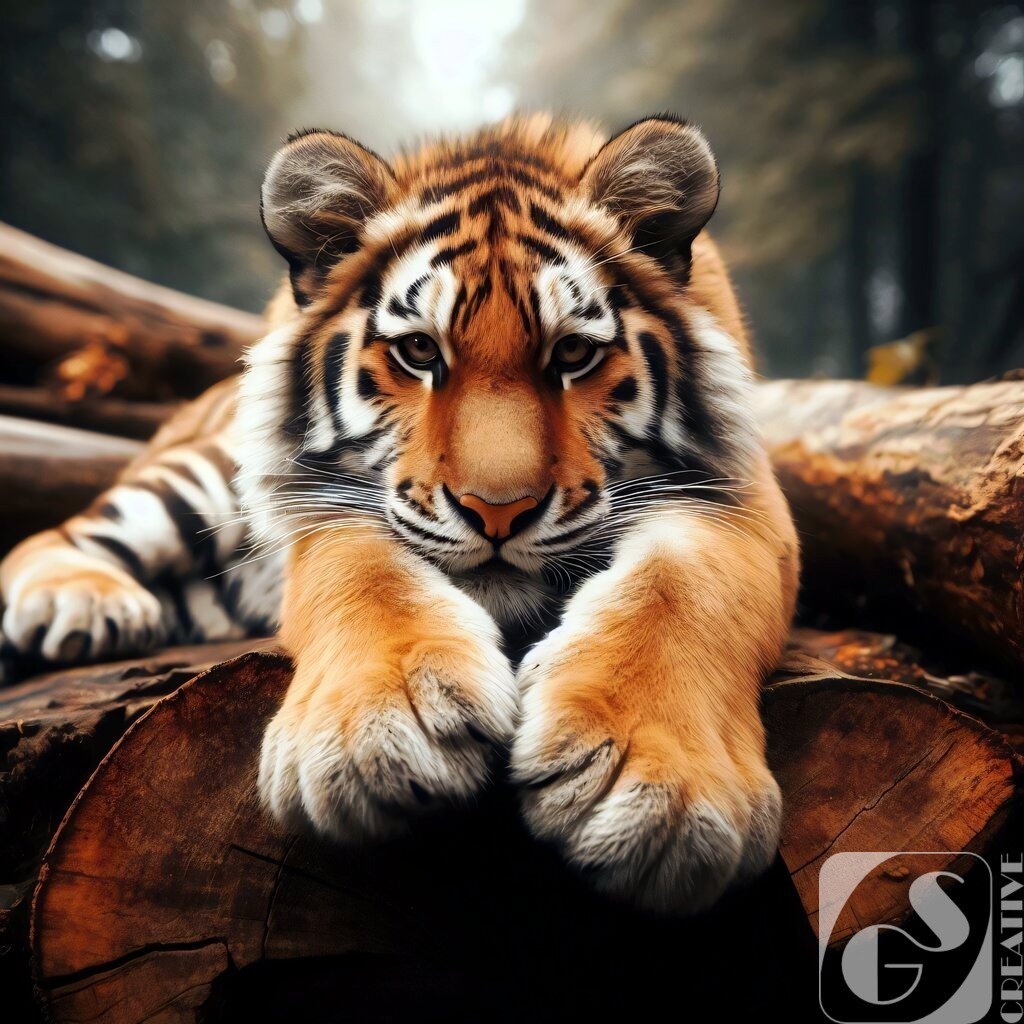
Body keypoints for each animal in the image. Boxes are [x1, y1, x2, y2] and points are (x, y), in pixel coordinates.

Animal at [0, 114, 799, 914]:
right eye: (419, 350)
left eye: (573, 353)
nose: (498, 513)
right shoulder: (322, 505)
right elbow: (363, 574)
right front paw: (380, 734)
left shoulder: (741, 501)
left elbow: (683, 588)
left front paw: (652, 786)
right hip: (198, 476)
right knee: (53, 538)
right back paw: (86, 606)